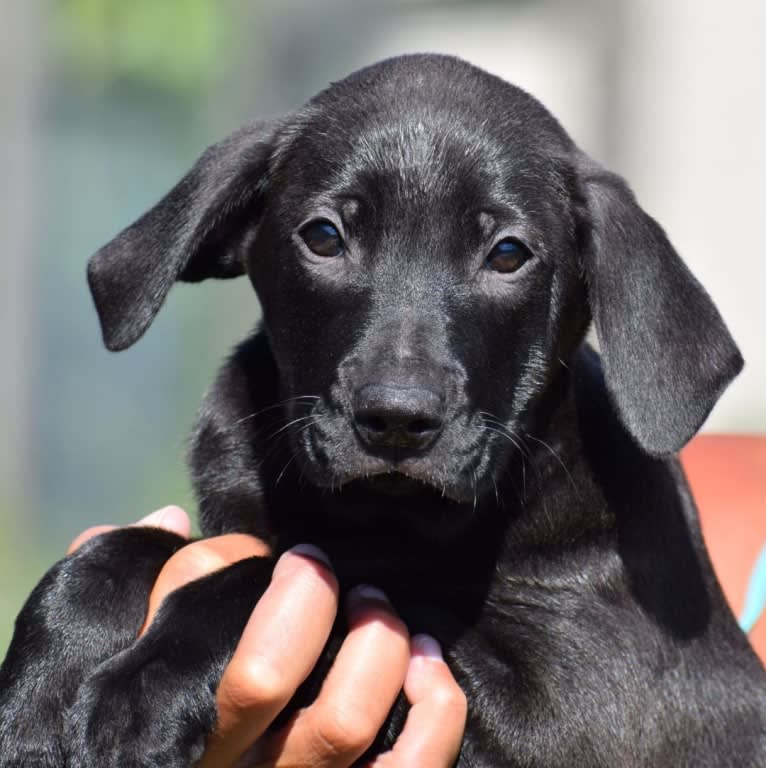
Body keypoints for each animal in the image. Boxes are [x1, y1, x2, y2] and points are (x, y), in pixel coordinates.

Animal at [1, 55, 766, 768]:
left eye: (508, 253)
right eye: (324, 237)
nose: (397, 418)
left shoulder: (578, 713)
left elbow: (319, 579)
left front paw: (141, 689)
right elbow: (128, 547)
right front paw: (36, 694)